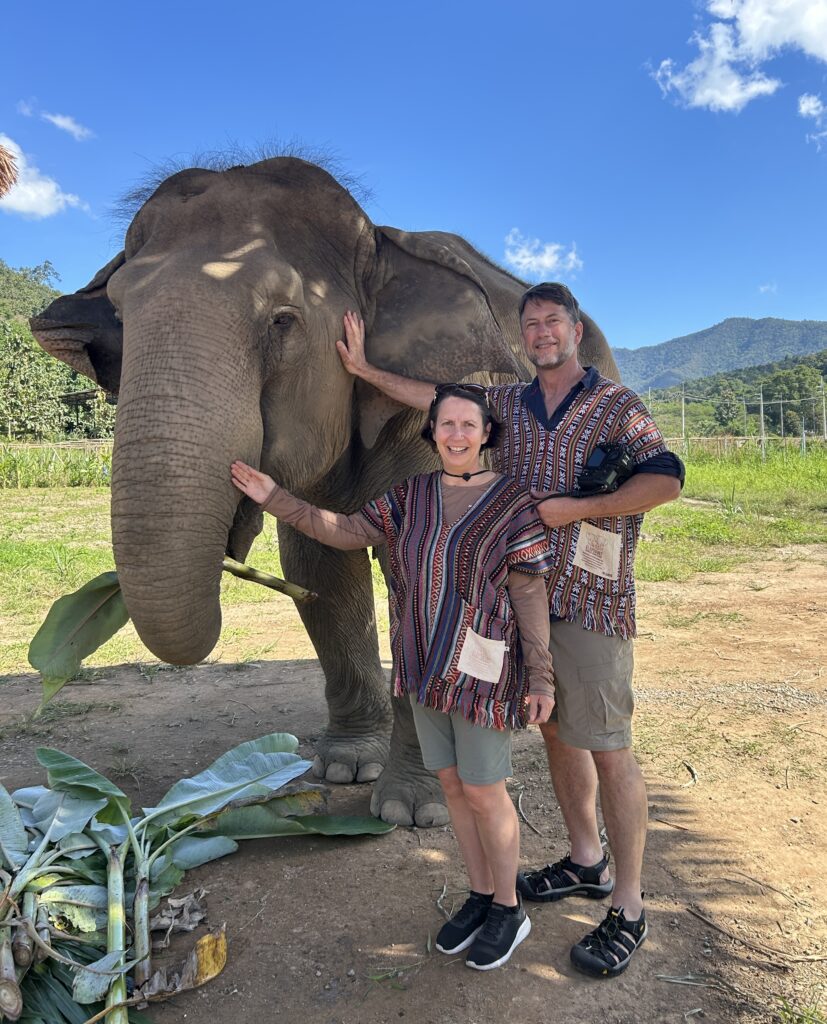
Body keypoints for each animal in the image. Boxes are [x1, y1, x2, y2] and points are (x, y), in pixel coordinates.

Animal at [31, 156, 619, 826]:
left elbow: (416, 571)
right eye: (122, 317)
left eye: (282, 322)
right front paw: (342, 769)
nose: (231, 535)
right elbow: (318, 564)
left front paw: (414, 811)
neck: (376, 248)